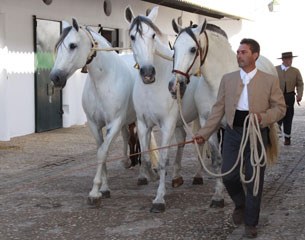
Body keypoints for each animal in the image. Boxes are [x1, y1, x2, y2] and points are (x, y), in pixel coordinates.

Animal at [49, 18, 157, 206]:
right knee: (129, 138)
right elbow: (101, 151)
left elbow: (102, 153)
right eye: (58, 46)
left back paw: (144, 175)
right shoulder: (94, 124)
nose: (55, 77)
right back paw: (129, 164)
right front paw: (104, 189)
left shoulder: (114, 122)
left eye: (72, 45)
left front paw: (94, 192)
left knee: (144, 141)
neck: (104, 80)